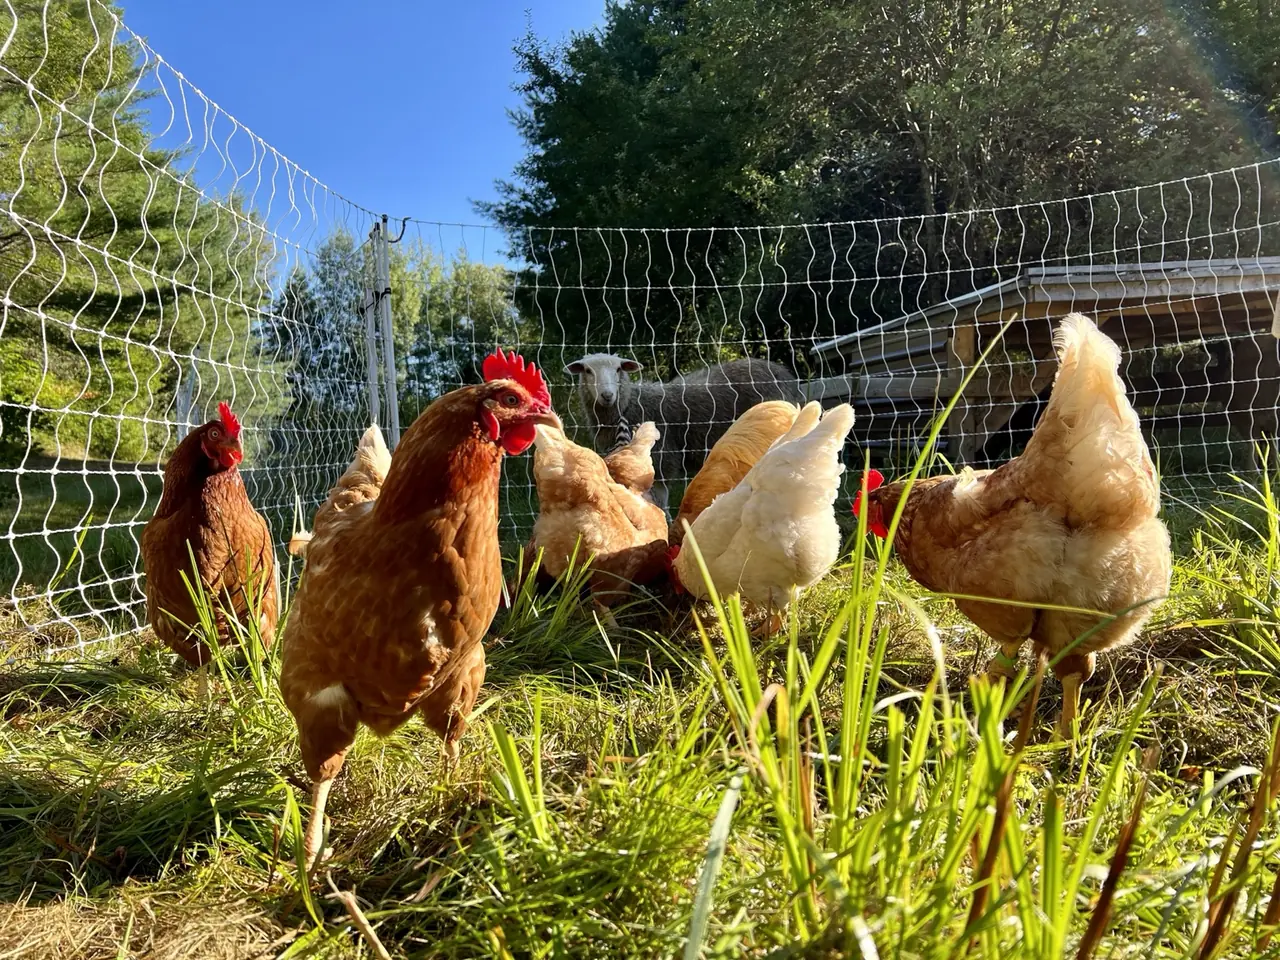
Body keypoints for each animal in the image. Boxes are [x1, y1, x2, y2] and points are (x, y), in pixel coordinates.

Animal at [565, 353, 804, 509]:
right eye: (587, 371)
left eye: (618, 369)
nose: (607, 395)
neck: (631, 404)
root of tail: (783, 372)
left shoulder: (662, 462)